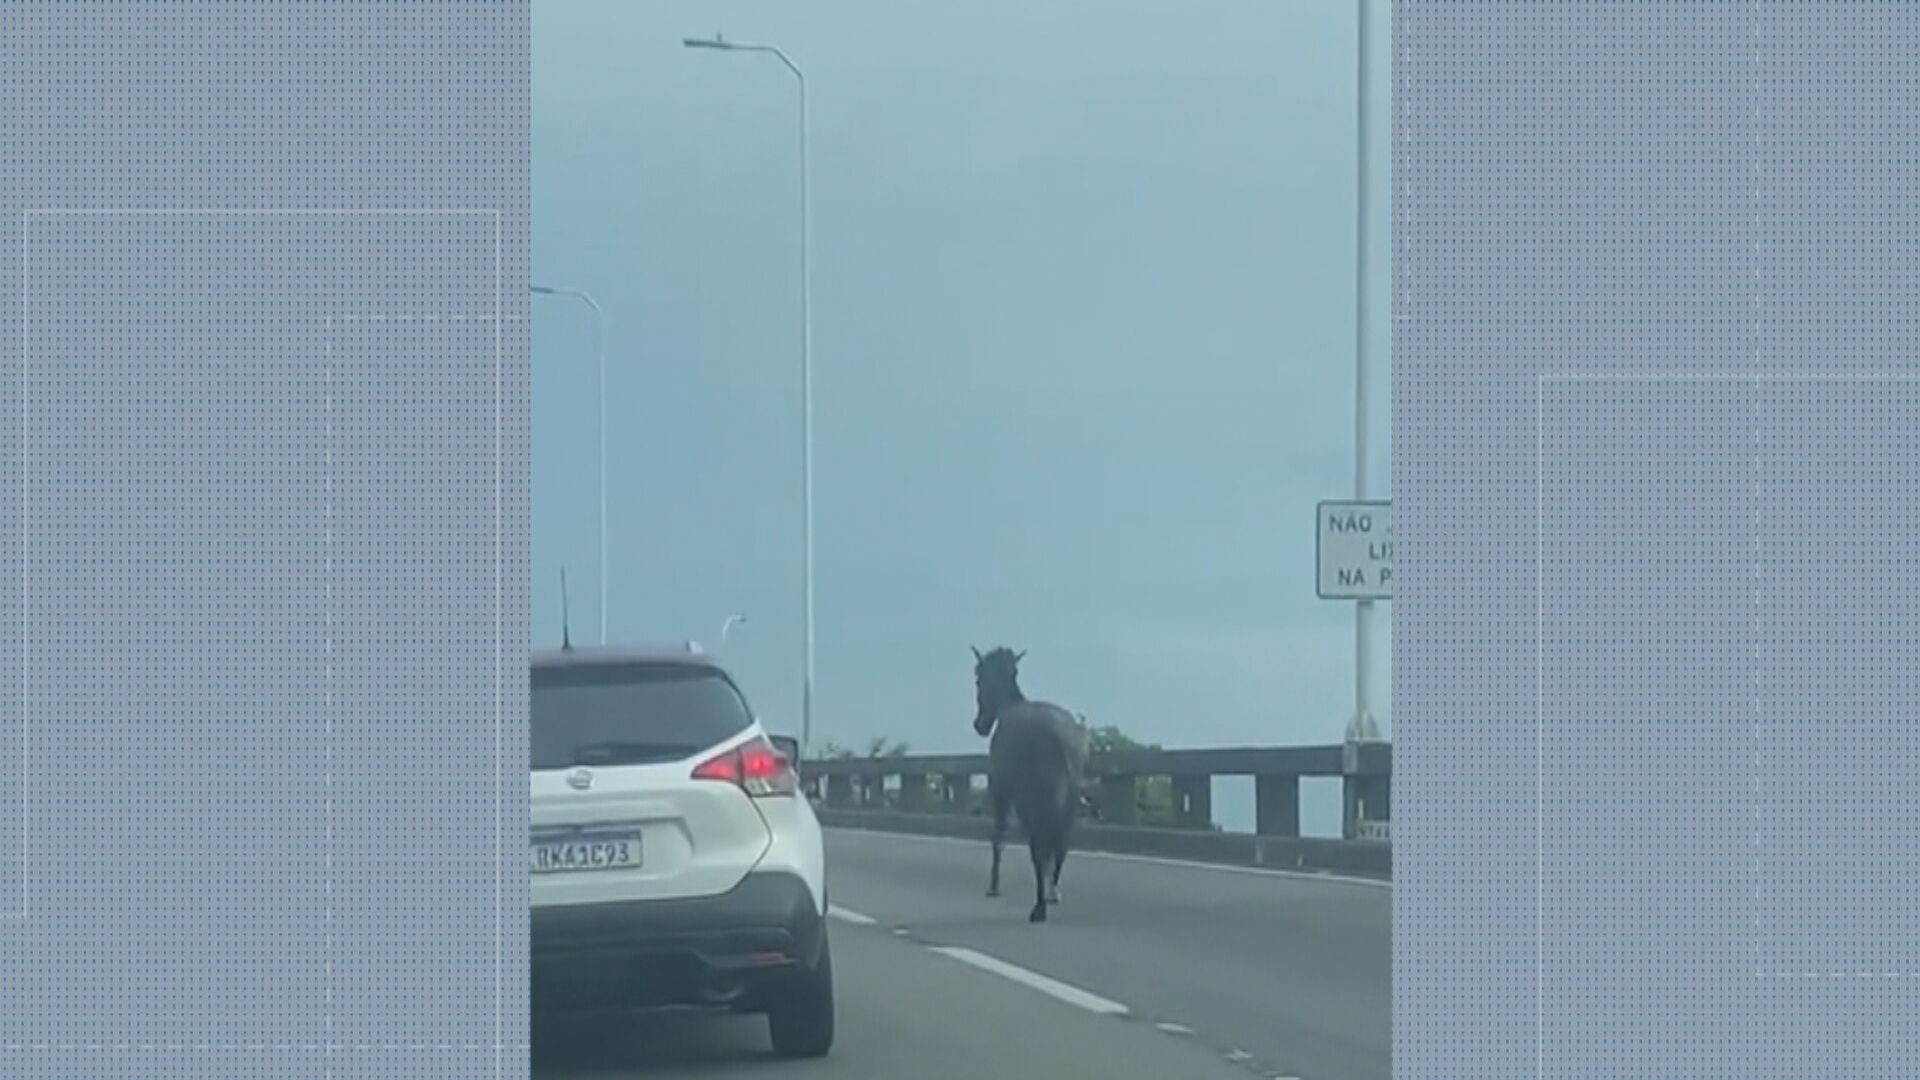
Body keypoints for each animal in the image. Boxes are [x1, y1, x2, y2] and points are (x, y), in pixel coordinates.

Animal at [967, 641, 1090, 922]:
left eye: (979, 679)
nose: (980, 725)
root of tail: (1064, 739)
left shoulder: (1000, 791)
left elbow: (998, 837)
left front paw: (994, 886)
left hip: (1035, 799)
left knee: (1040, 846)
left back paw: (1040, 906)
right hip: (1068, 802)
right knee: (1060, 845)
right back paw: (1052, 893)